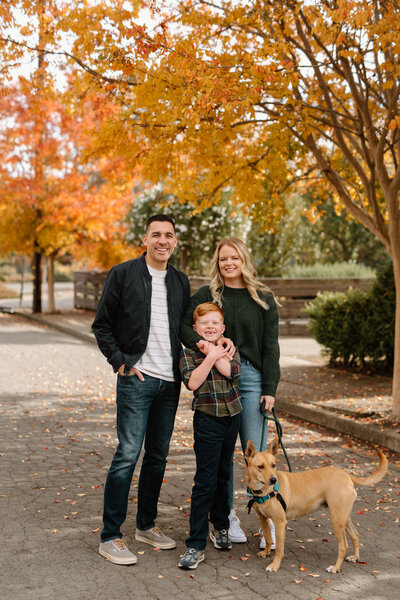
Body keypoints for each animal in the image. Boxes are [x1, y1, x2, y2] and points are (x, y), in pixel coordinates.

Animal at [245, 437, 388, 573]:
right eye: (261, 466)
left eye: (273, 465)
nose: (273, 480)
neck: (264, 490)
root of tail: (345, 474)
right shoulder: (263, 518)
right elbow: (268, 539)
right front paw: (266, 552)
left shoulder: (280, 522)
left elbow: (280, 548)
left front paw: (275, 565)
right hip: (344, 517)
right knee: (355, 535)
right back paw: (355, 557)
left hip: (337, 520)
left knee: (343, 546)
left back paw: (335, 568)